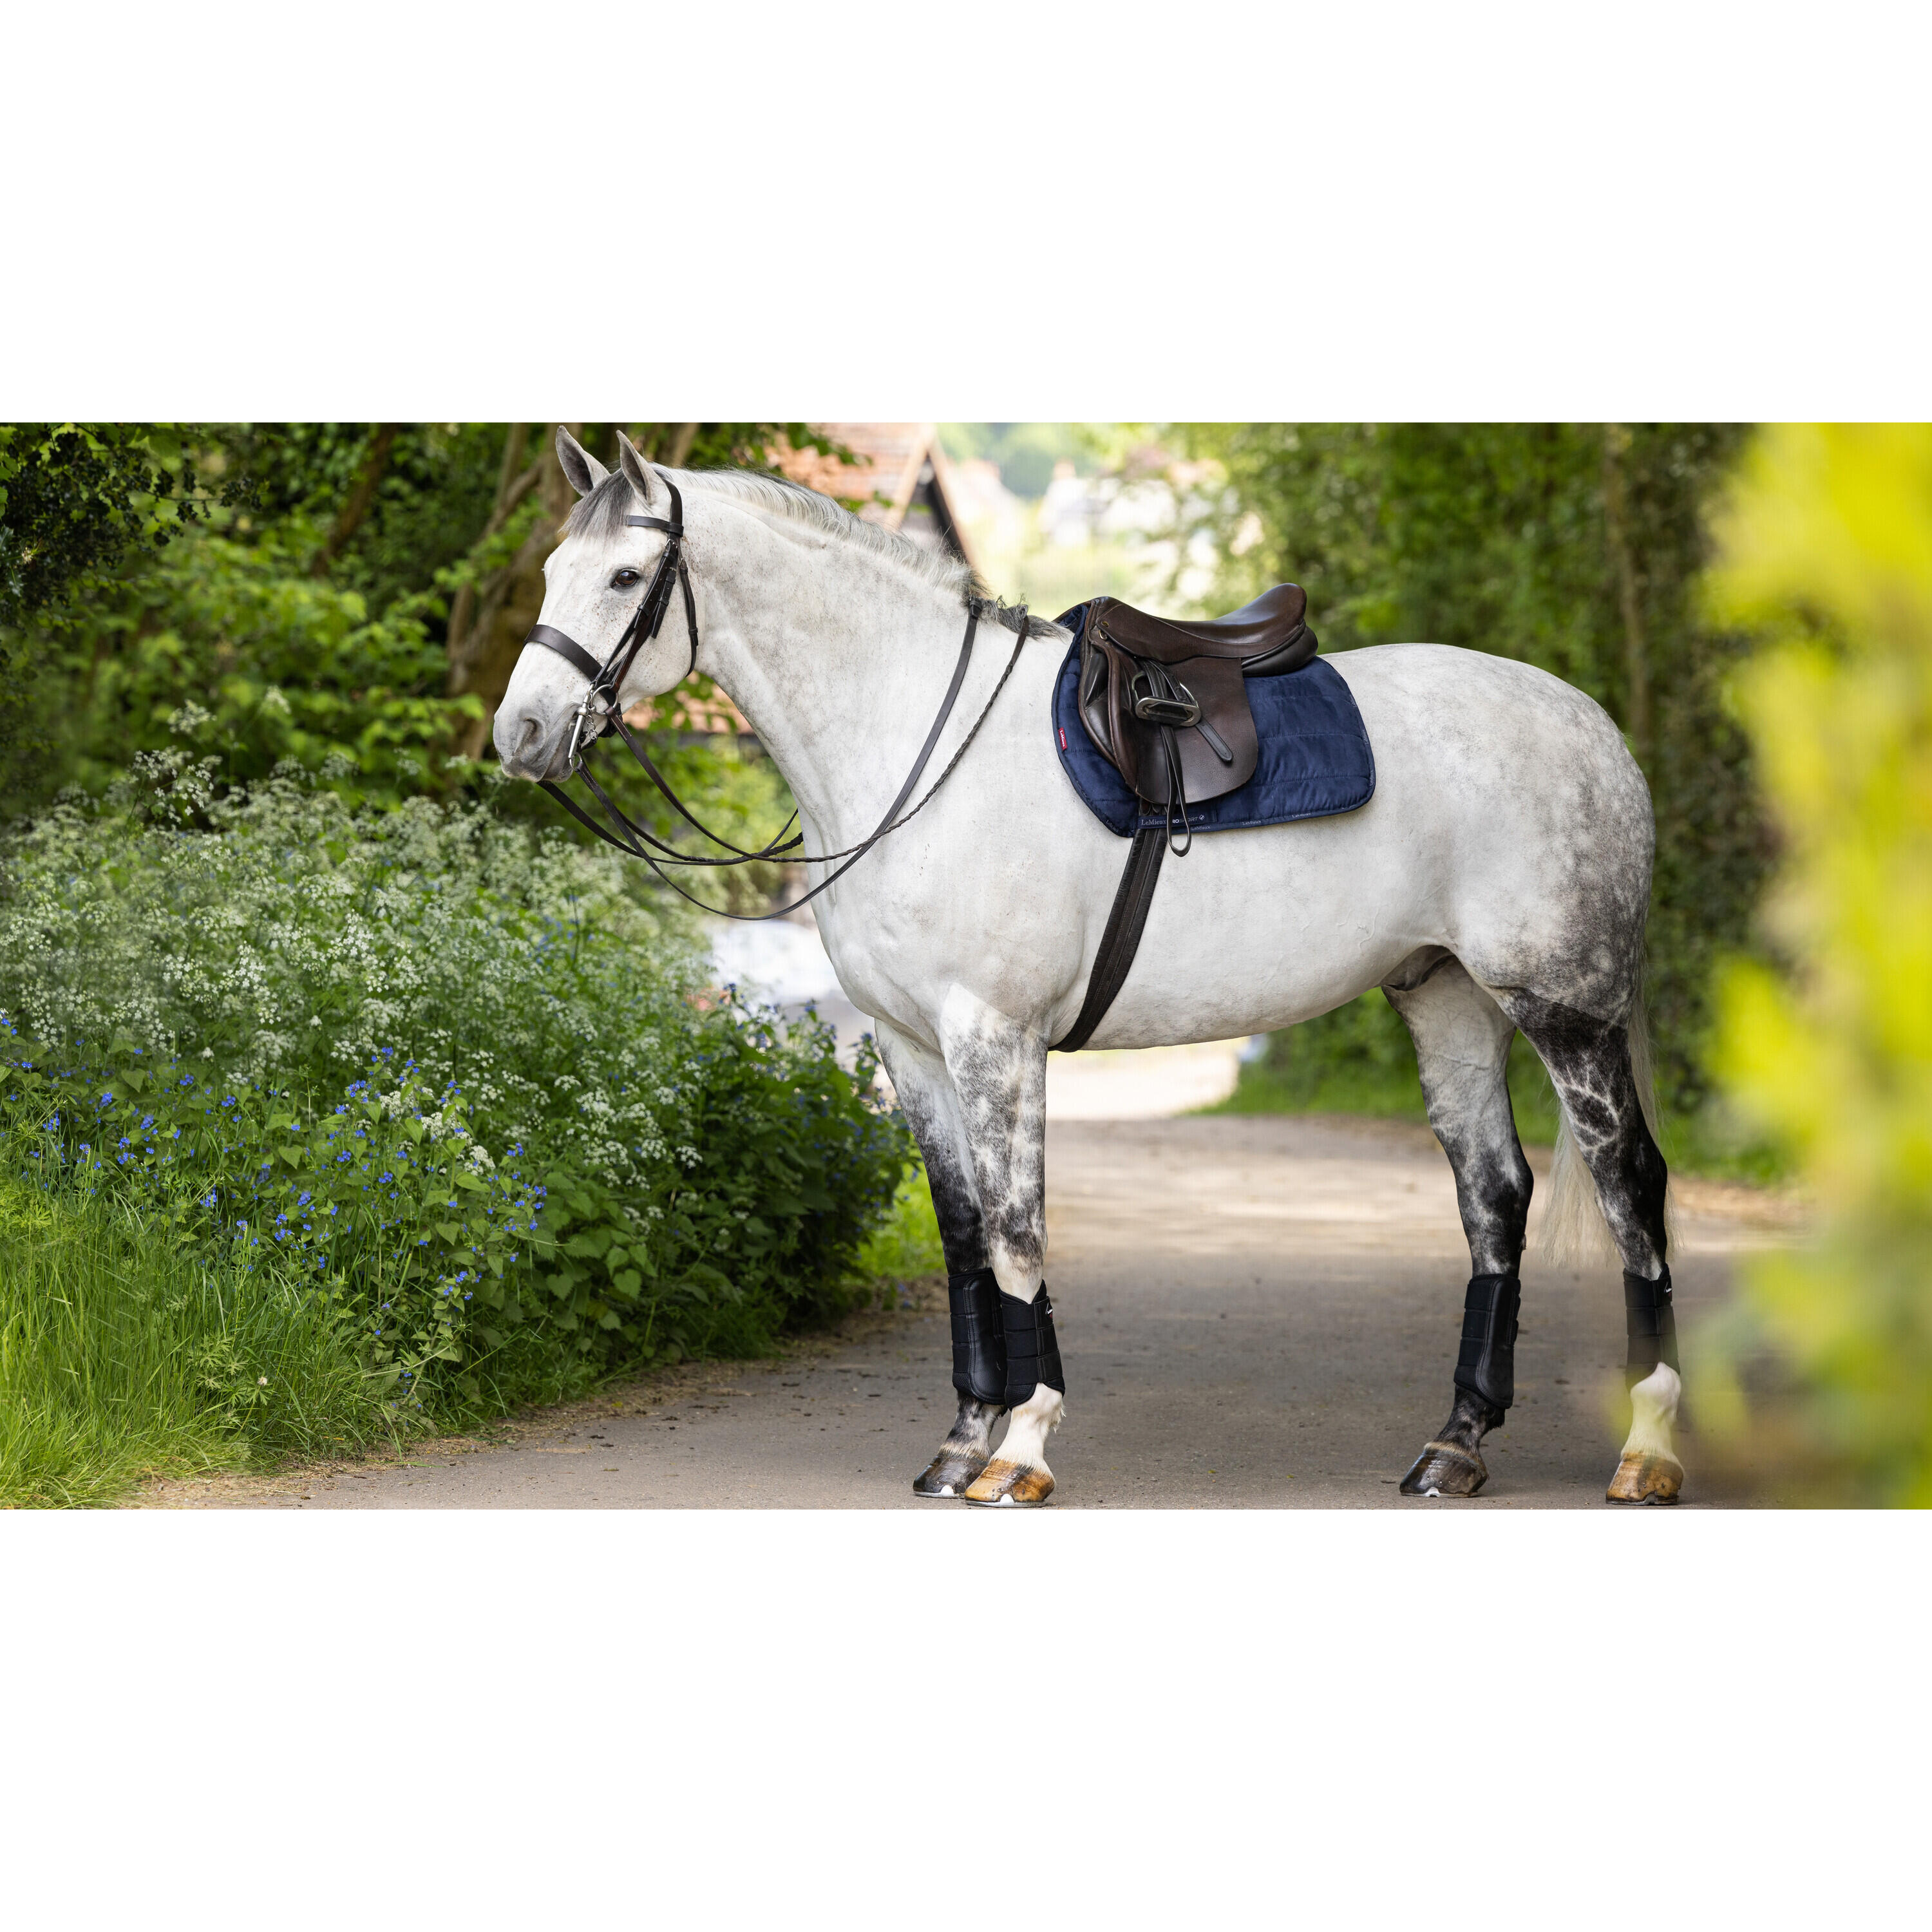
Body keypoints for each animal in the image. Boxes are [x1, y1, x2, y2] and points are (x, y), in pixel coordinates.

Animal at [493, 428, 1684, 1508]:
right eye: (551, 572)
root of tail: (1591, 726)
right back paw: (1456, 1446)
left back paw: (1649, 1447)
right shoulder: (909, 1045)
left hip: (1564, 1010)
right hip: (1446, 998)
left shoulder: (994, 1034)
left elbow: (1018, 1235)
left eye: (626, 577)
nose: (521, 734)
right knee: (1496, 1196)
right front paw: (963, 1443)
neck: (911, 741)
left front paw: (1022, 1449)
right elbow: (965, 1236)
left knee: (1631, 1187)